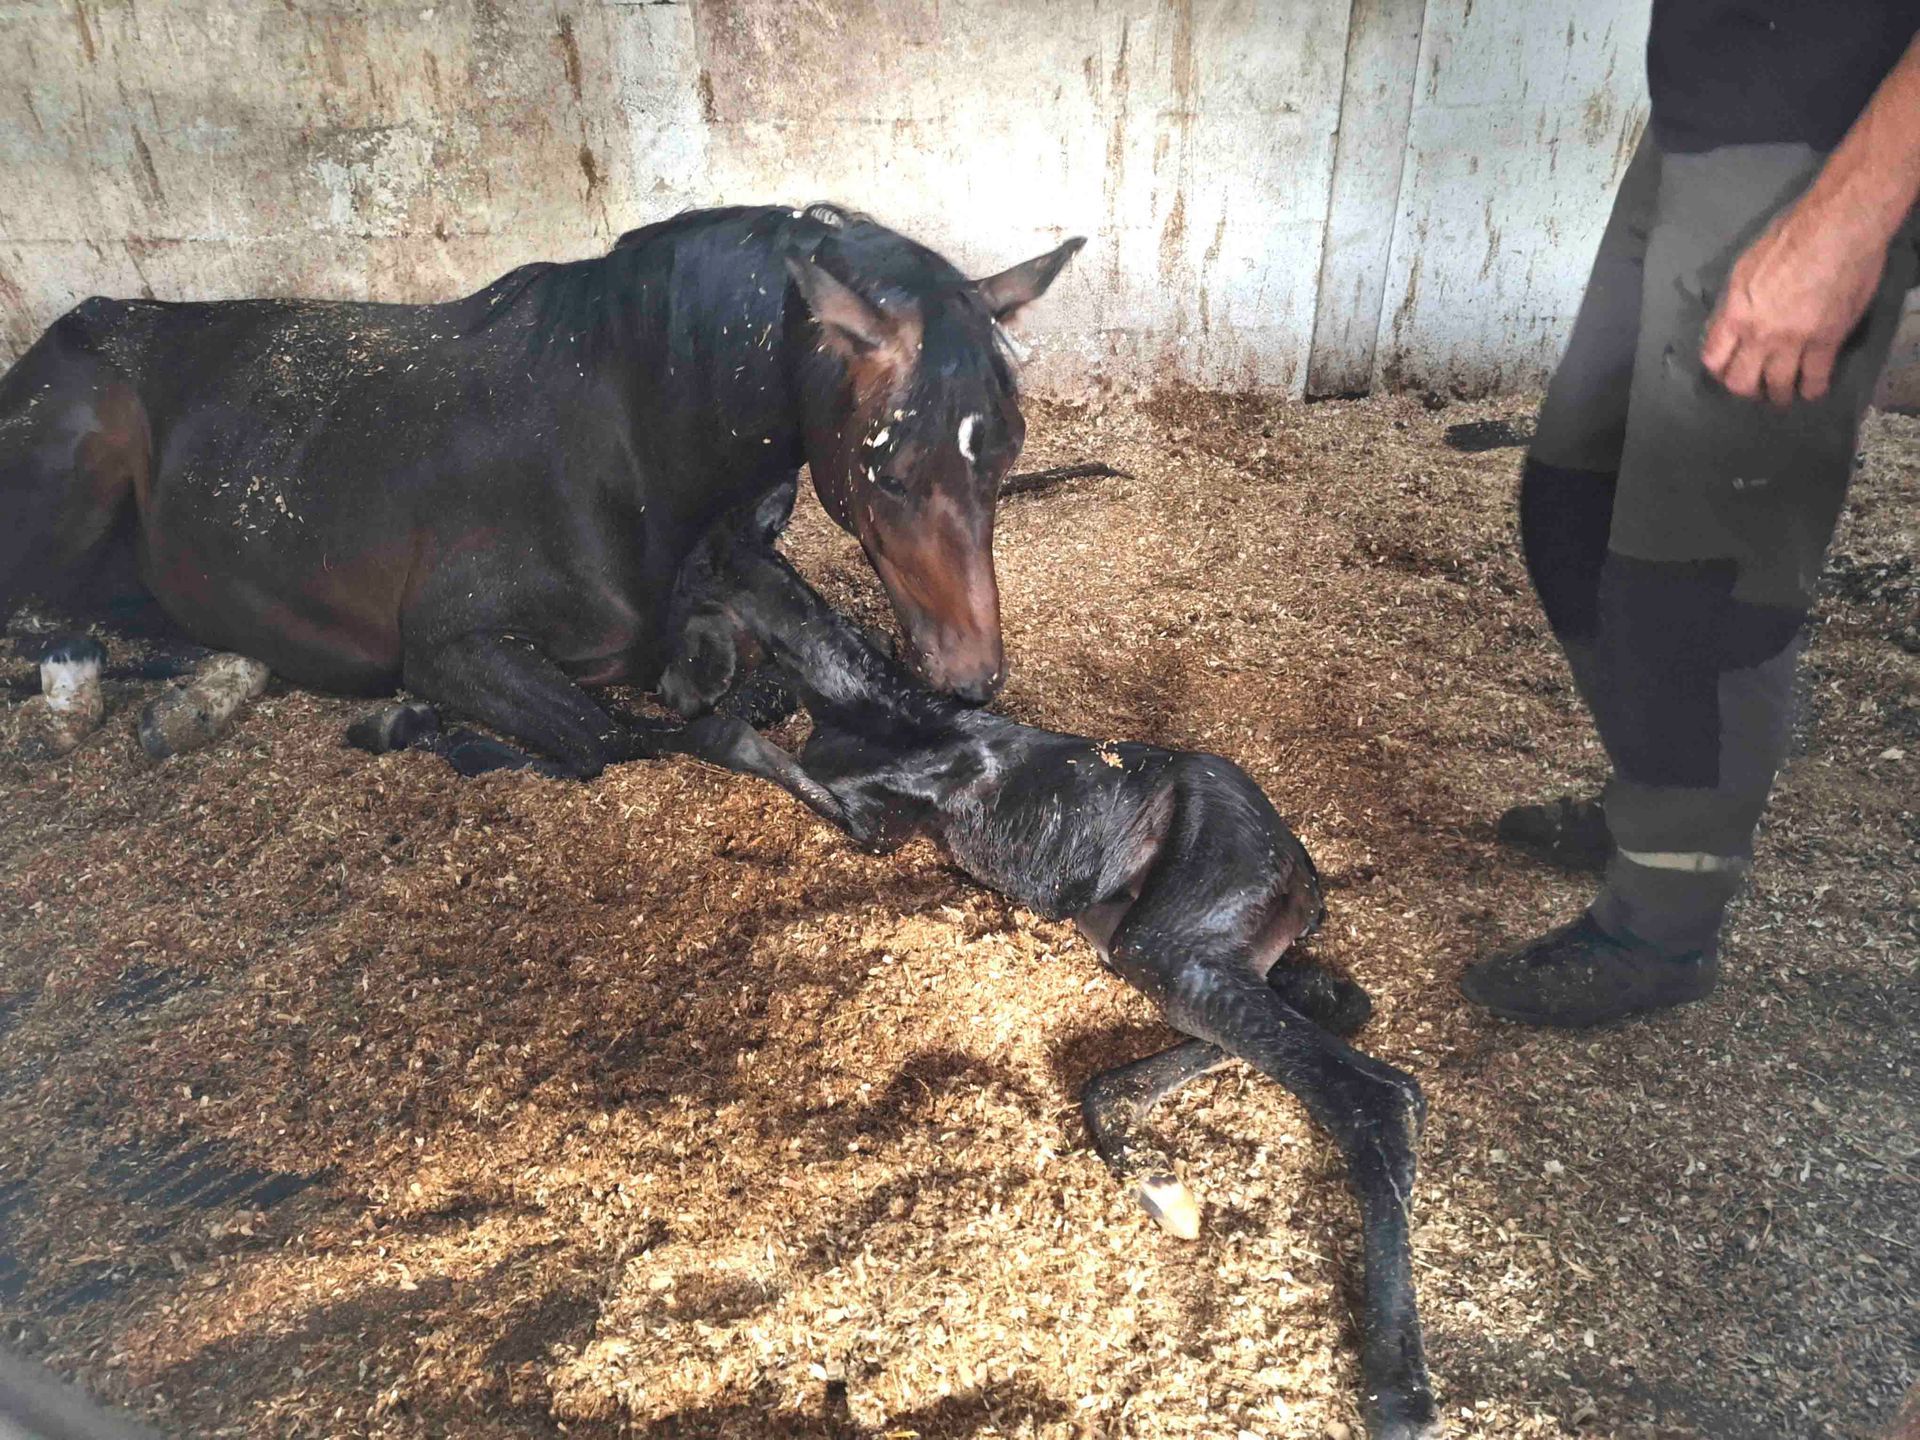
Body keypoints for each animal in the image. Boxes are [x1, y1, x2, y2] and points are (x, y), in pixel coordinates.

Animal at [0, 205, 1082, 776]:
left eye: (1008, 457)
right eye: (889, 471)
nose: (974, 674)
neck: (628, 445)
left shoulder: (744, 567)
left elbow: (822, 661)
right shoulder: (454, 644)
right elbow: (625, 734)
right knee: (47, 623)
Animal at [618, 483, 1437, 1440]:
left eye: (681, 600)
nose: (664, 687)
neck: (869, 708)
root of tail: (1303, 868)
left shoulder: (875, 825)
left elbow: (737, 745)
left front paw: (669, 728)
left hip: (1173, 938)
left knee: (1372, 1092)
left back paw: (1398, 1388)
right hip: (1141, 934)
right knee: (1322, 1004)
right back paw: (1154, 1177)